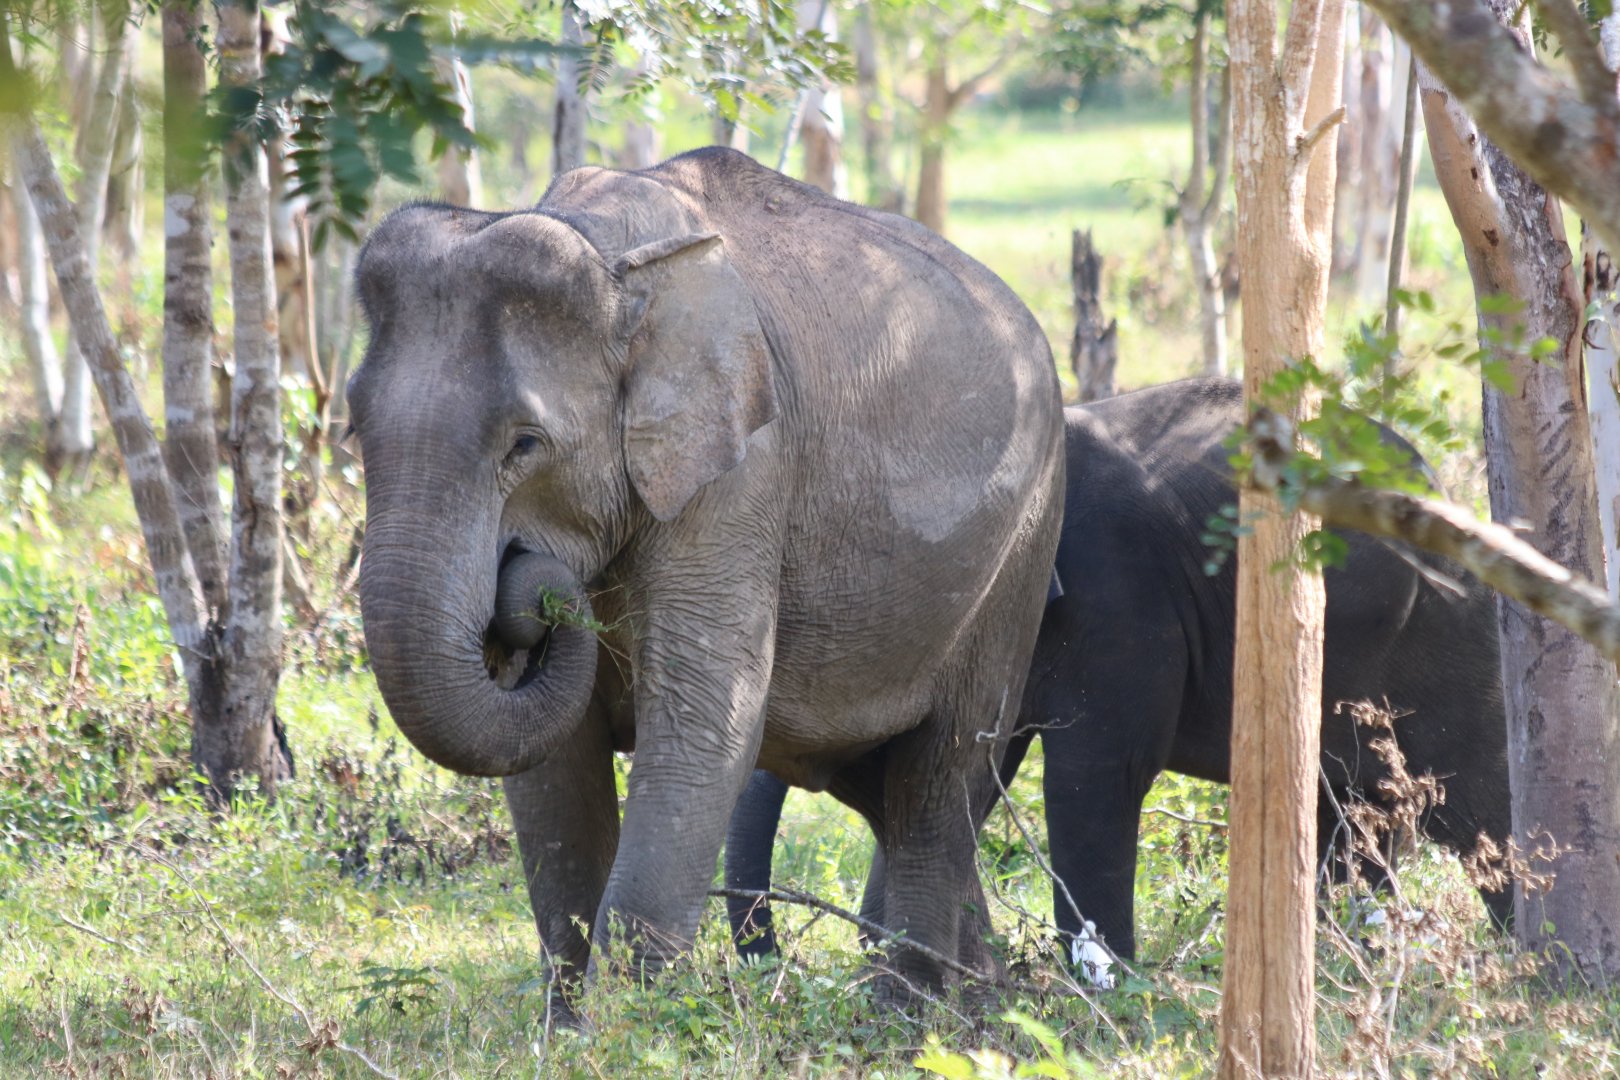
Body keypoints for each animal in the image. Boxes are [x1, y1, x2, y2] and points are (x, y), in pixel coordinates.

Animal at [346, 147, 1065, 1002]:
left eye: (525, 444)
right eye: (353, 429)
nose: (531, 587)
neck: (610, 254)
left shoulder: (743, 472)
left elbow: (703, 719)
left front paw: (629, 1019)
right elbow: (554, 770)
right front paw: (571, 1024)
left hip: (1022, 547)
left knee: (940, 775)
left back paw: (912, 1010)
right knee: (891, 790)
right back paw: (984, 996)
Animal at [726, 377, 1510, 967]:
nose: (771, 962)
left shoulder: (1118, 594)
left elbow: (1097, 771)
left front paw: (1107, 983)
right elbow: (971, 774)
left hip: (1447, 642)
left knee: (1474, 804)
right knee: (1356, 815)